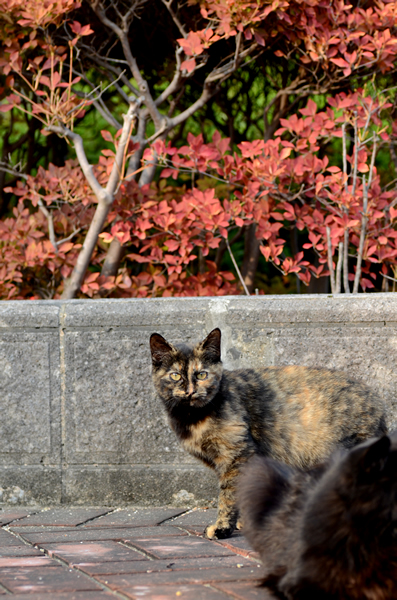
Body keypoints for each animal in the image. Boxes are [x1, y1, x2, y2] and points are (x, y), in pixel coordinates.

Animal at [148, 328, 384, 540]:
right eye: (175, 375)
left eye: (201, 374)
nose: (190, 391)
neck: (192, 418)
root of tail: (377, 403)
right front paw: (242, 523)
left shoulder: (237, 456)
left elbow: (228, 496)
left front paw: (222, 528)